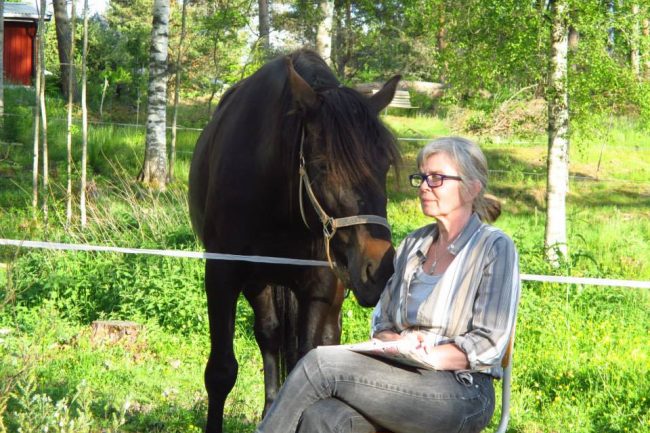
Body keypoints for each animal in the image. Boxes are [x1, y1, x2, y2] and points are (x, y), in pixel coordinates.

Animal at [187, 50, 400, 432]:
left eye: (385, 164)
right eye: (323, 165)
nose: (379, 268)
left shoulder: (322, 285)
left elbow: (308, 365)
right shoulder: (223, 276)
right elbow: (221, 372)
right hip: (260, 282)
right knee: (269, 335)